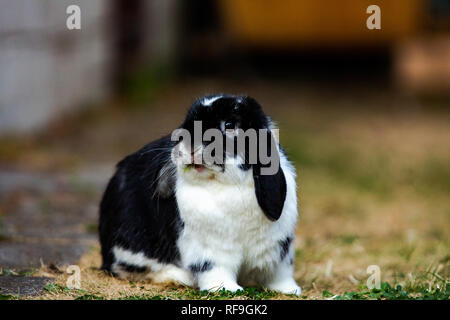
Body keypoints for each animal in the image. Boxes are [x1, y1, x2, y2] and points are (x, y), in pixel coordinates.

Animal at [100, 95, 300, 296]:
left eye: (229, 124)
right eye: (188, 122)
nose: (188, 145)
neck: (229, 185)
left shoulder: (280, 247)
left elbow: (280, 273)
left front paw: (290, 290)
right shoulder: (208, 249)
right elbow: (213, 268)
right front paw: (227, 289)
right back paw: (180, 277)